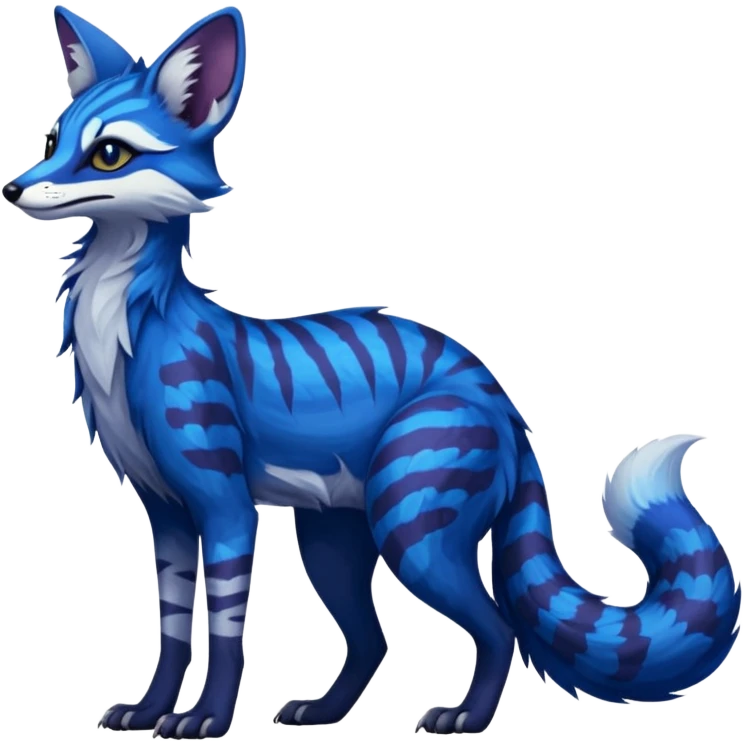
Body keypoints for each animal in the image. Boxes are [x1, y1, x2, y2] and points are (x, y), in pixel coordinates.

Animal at [6, 5, 740, 740]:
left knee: (496, 627)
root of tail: (501, 399)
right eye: (53, 138)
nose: (14, 187)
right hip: (332, 536)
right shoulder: (166, 513)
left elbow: (222, 632)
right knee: (372, 641)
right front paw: (150, 710)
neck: (122, 332)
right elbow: (173, 629)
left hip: (411, 525)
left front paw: (207, 719)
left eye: (109, 154)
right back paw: (325, 712)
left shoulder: (224, 504)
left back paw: (467, 717)